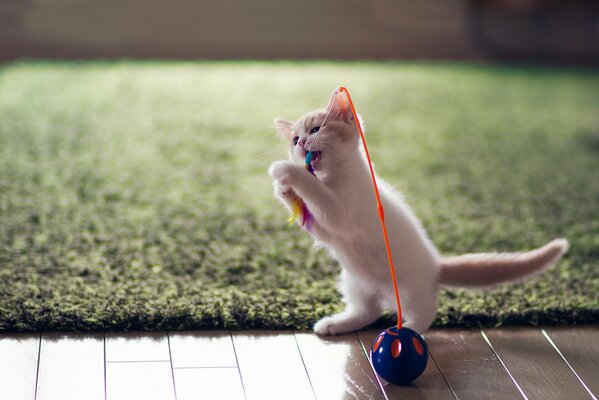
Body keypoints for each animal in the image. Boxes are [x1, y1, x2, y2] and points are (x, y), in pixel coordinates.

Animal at [270, 90, 568, 334]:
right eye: (294, 139)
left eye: (315, 129)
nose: (300, 144)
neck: (334, 176)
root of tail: (435, 265)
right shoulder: (328, 231)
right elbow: (317, 224)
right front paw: (284, 190)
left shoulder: (342, 210)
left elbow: (317, 193)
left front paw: (286, 171)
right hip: (353, 280)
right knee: (367, 311)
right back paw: (336, 324)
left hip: (408, 290)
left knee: (424, 312)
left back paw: (409, 331)